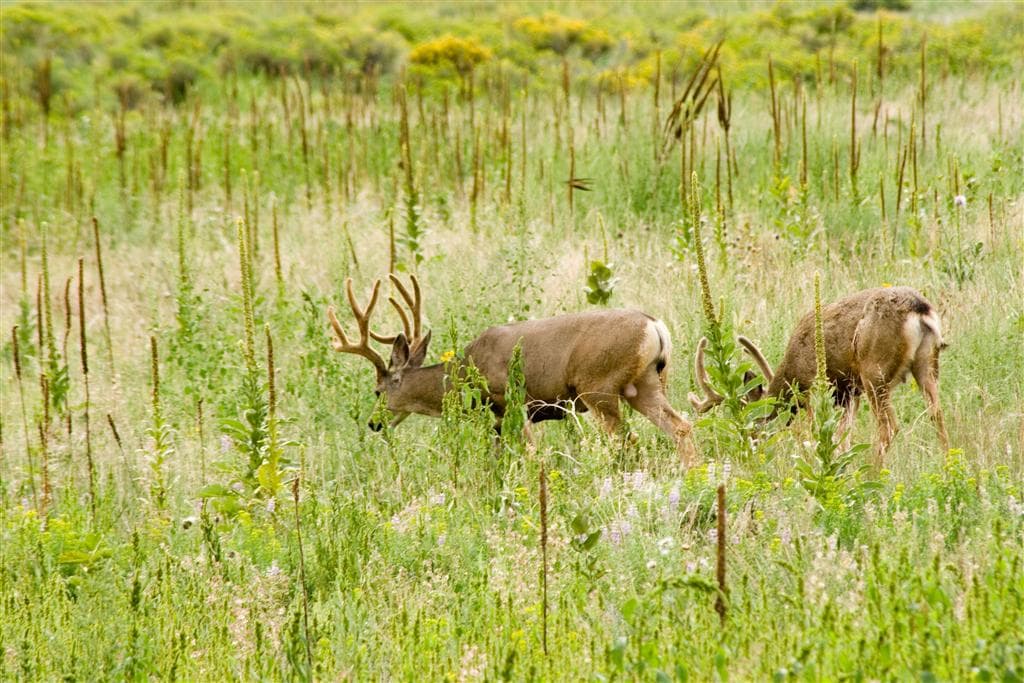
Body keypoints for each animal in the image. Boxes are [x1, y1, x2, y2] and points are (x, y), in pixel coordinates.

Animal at [327, 274, 698, 465]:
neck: (465, 372)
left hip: (599, 386)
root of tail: (655, 326)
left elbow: (531, 452)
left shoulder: (511, 400)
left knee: (626, 440)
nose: (374, 423)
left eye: (378, 390)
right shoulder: (497, 418)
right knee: (681, 427)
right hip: (645, 383)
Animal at [688, 286, 949, 458]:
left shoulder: (812, 385)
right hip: (927, 365)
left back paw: (874, 474)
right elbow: (843, 436)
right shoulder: (848, 392)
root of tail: (920, 309)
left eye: (754, 429)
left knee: (889, 427)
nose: (748, 454)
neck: (790, 369)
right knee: (937, 414)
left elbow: (816, 430)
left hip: (875, 371)